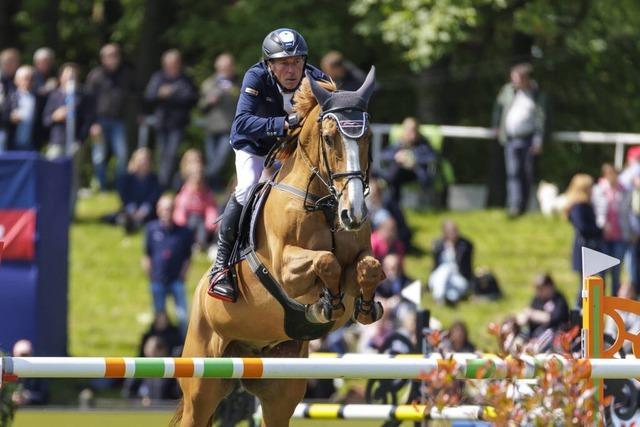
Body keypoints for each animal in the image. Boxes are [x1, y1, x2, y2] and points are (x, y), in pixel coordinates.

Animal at [171, 67, 384, 427]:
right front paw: (327, 303)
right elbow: (326, 262)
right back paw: (222, 281)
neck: (325, 205)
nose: (353, 214)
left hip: (281, 388)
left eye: (367, 137)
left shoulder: (360, 257)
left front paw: (366, 308)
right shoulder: (286, 269)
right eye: (329, 138)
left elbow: (368, 267)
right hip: (202, 384)